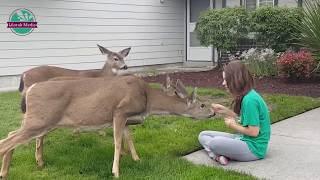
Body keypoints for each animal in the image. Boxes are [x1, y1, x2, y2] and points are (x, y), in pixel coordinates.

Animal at [0, 75, 215, 179]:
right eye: (203, 105)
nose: (214, 112)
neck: (148, 100)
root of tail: (30, 89)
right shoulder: (119, 111)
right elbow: (118, 143)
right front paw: (116, 172)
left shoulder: (127, 119)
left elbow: (129, 138)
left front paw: (137, 159)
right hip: (41, 120)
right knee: (7, 141)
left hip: (43, 120)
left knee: (11, 134)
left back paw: (12, 170)